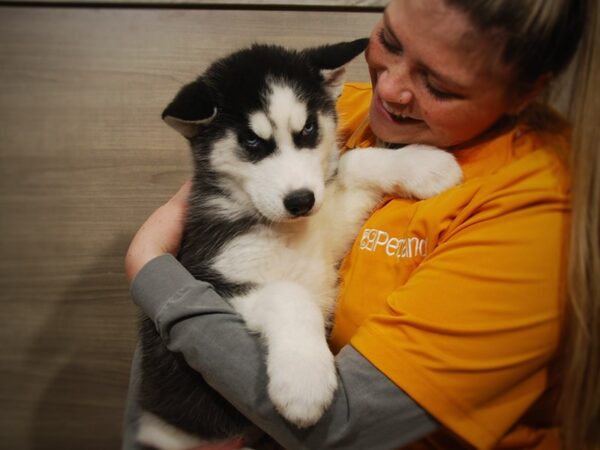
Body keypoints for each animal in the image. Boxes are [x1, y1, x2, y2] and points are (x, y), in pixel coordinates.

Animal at [138, 40, 462, 448]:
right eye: (251, 141)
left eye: (307, 129)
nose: (301, 201)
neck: (286, 230)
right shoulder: (211, 278)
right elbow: (290, 294)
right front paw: (305, 382)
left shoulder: (330, 234)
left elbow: (353, 163)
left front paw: (425, 164)